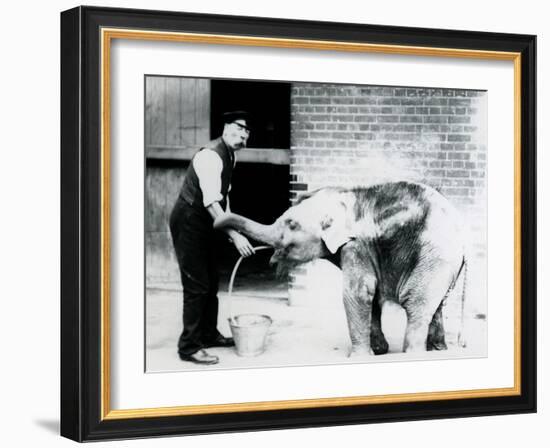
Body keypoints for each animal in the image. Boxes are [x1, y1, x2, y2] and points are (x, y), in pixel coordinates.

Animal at [216, 182, 470, 356]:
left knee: (416, 303)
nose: (246, 250)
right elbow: (372, 295)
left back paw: (414, 353)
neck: (342, 196)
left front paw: (360, 357)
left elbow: (358, 293)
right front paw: (379, 351)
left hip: (434, 258)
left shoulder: (356, 245)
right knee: (437, 305)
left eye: (291, 224)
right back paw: (438, 350)